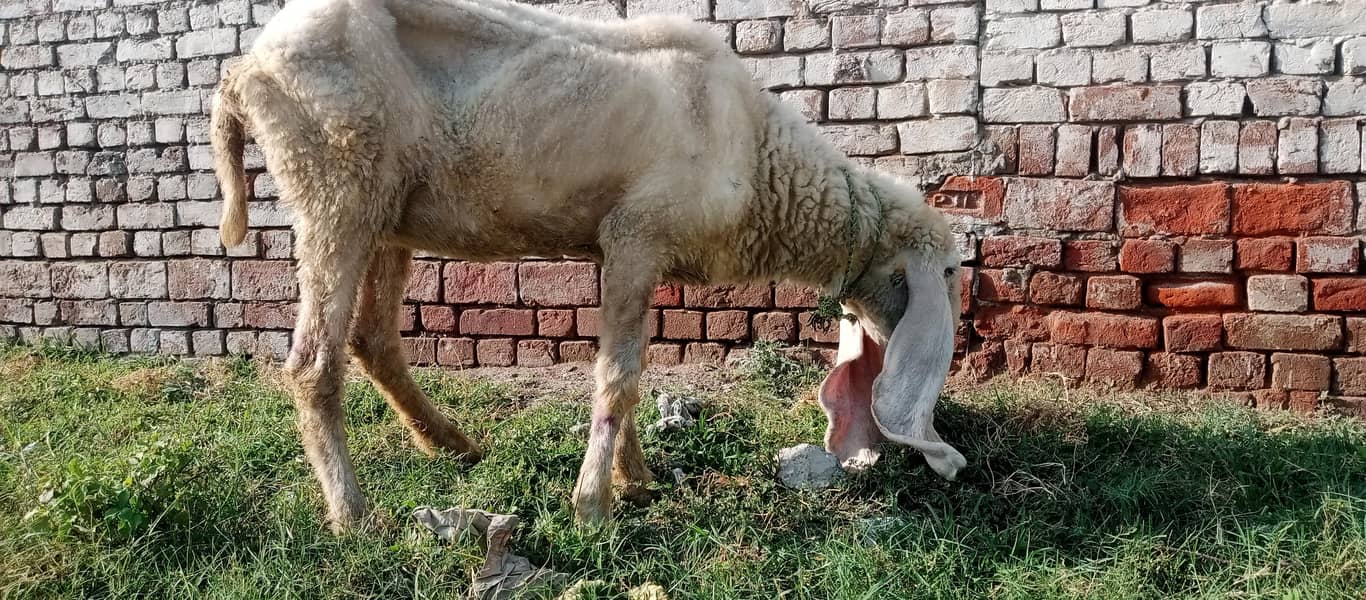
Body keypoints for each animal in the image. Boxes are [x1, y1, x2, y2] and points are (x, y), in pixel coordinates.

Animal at [211, 0, 966, 532]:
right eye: (951, 274)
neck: (758, 159)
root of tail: (242, 70)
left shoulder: (625, 248)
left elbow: (624, 368)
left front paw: (636, 479)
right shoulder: (637, 233)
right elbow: (617, 376)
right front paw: (594, 505)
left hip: (387, 213)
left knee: (373, 338)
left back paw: (453, 445)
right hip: (333, 188)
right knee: (312, 363)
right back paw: (353, 516)